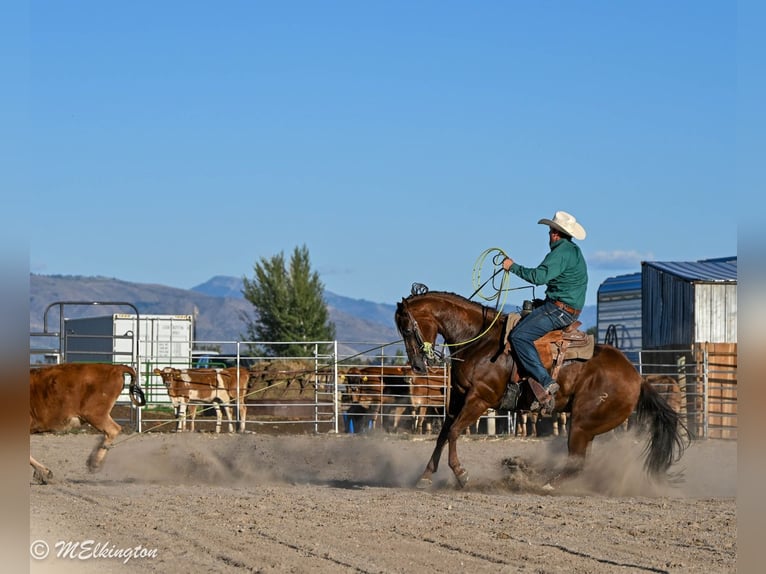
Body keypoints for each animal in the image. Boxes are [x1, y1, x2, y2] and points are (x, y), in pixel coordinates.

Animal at [394, 288, 688, 489]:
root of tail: (637, 378)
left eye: (407, 328)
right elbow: (443, 433)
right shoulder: (458, 396)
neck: (479, 340)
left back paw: (537, 481)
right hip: (588, 428)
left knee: (576, 463)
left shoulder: (480, 399)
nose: (418, 366)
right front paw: (425, 476)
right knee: (578, 463)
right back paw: (525, 472)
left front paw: (461, 474)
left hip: (581, 424)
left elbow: (455, 432)